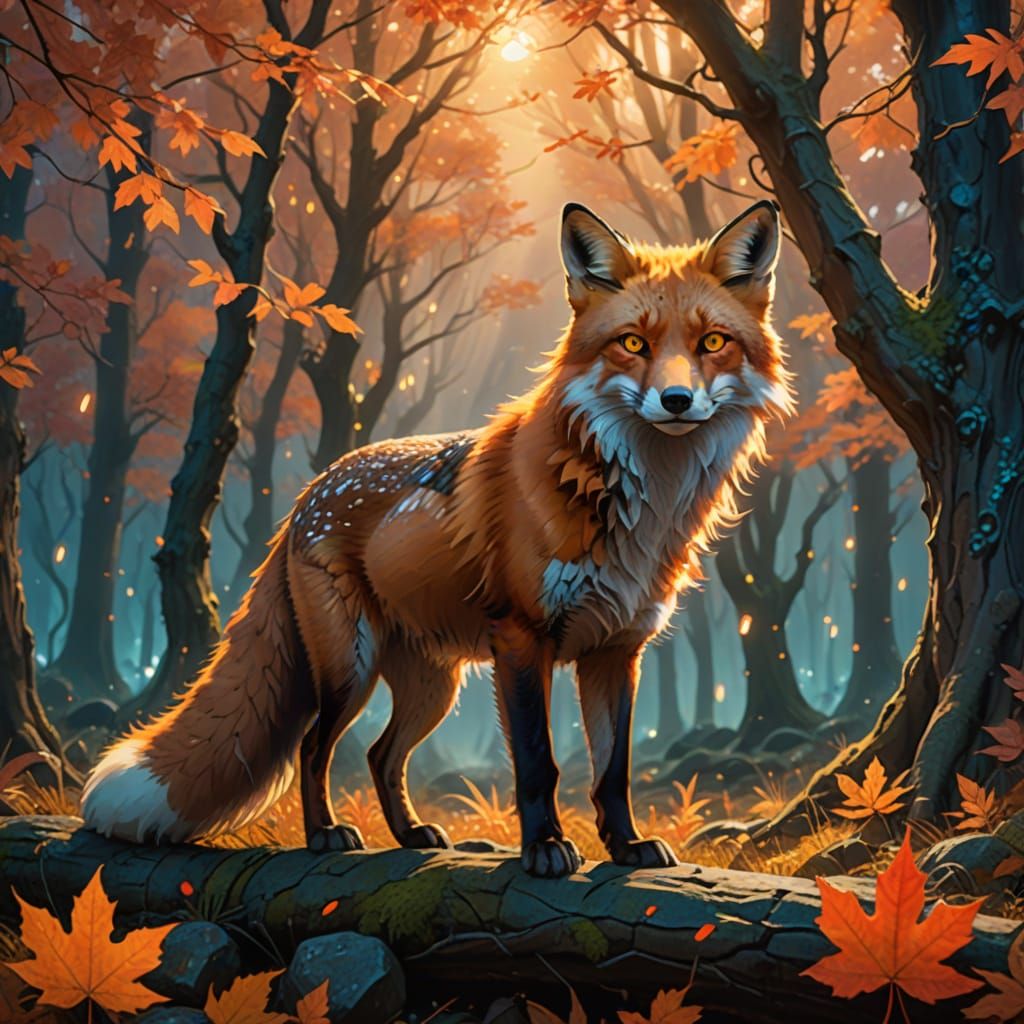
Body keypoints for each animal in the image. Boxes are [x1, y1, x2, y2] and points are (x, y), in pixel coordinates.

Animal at [82, 200, 793, 877]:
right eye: (632, 343)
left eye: (712, 341)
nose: (676, 400)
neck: (628, 498)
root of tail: (309, 493)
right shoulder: (521, 639)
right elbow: (538, 764)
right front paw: (544, 851)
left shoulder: (616, 649)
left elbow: (612, 771)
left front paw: (625, 847)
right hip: (351, 667)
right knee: (315, 745)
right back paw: (325, 835)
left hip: (432, 688)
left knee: (379, 754)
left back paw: (408, 835)